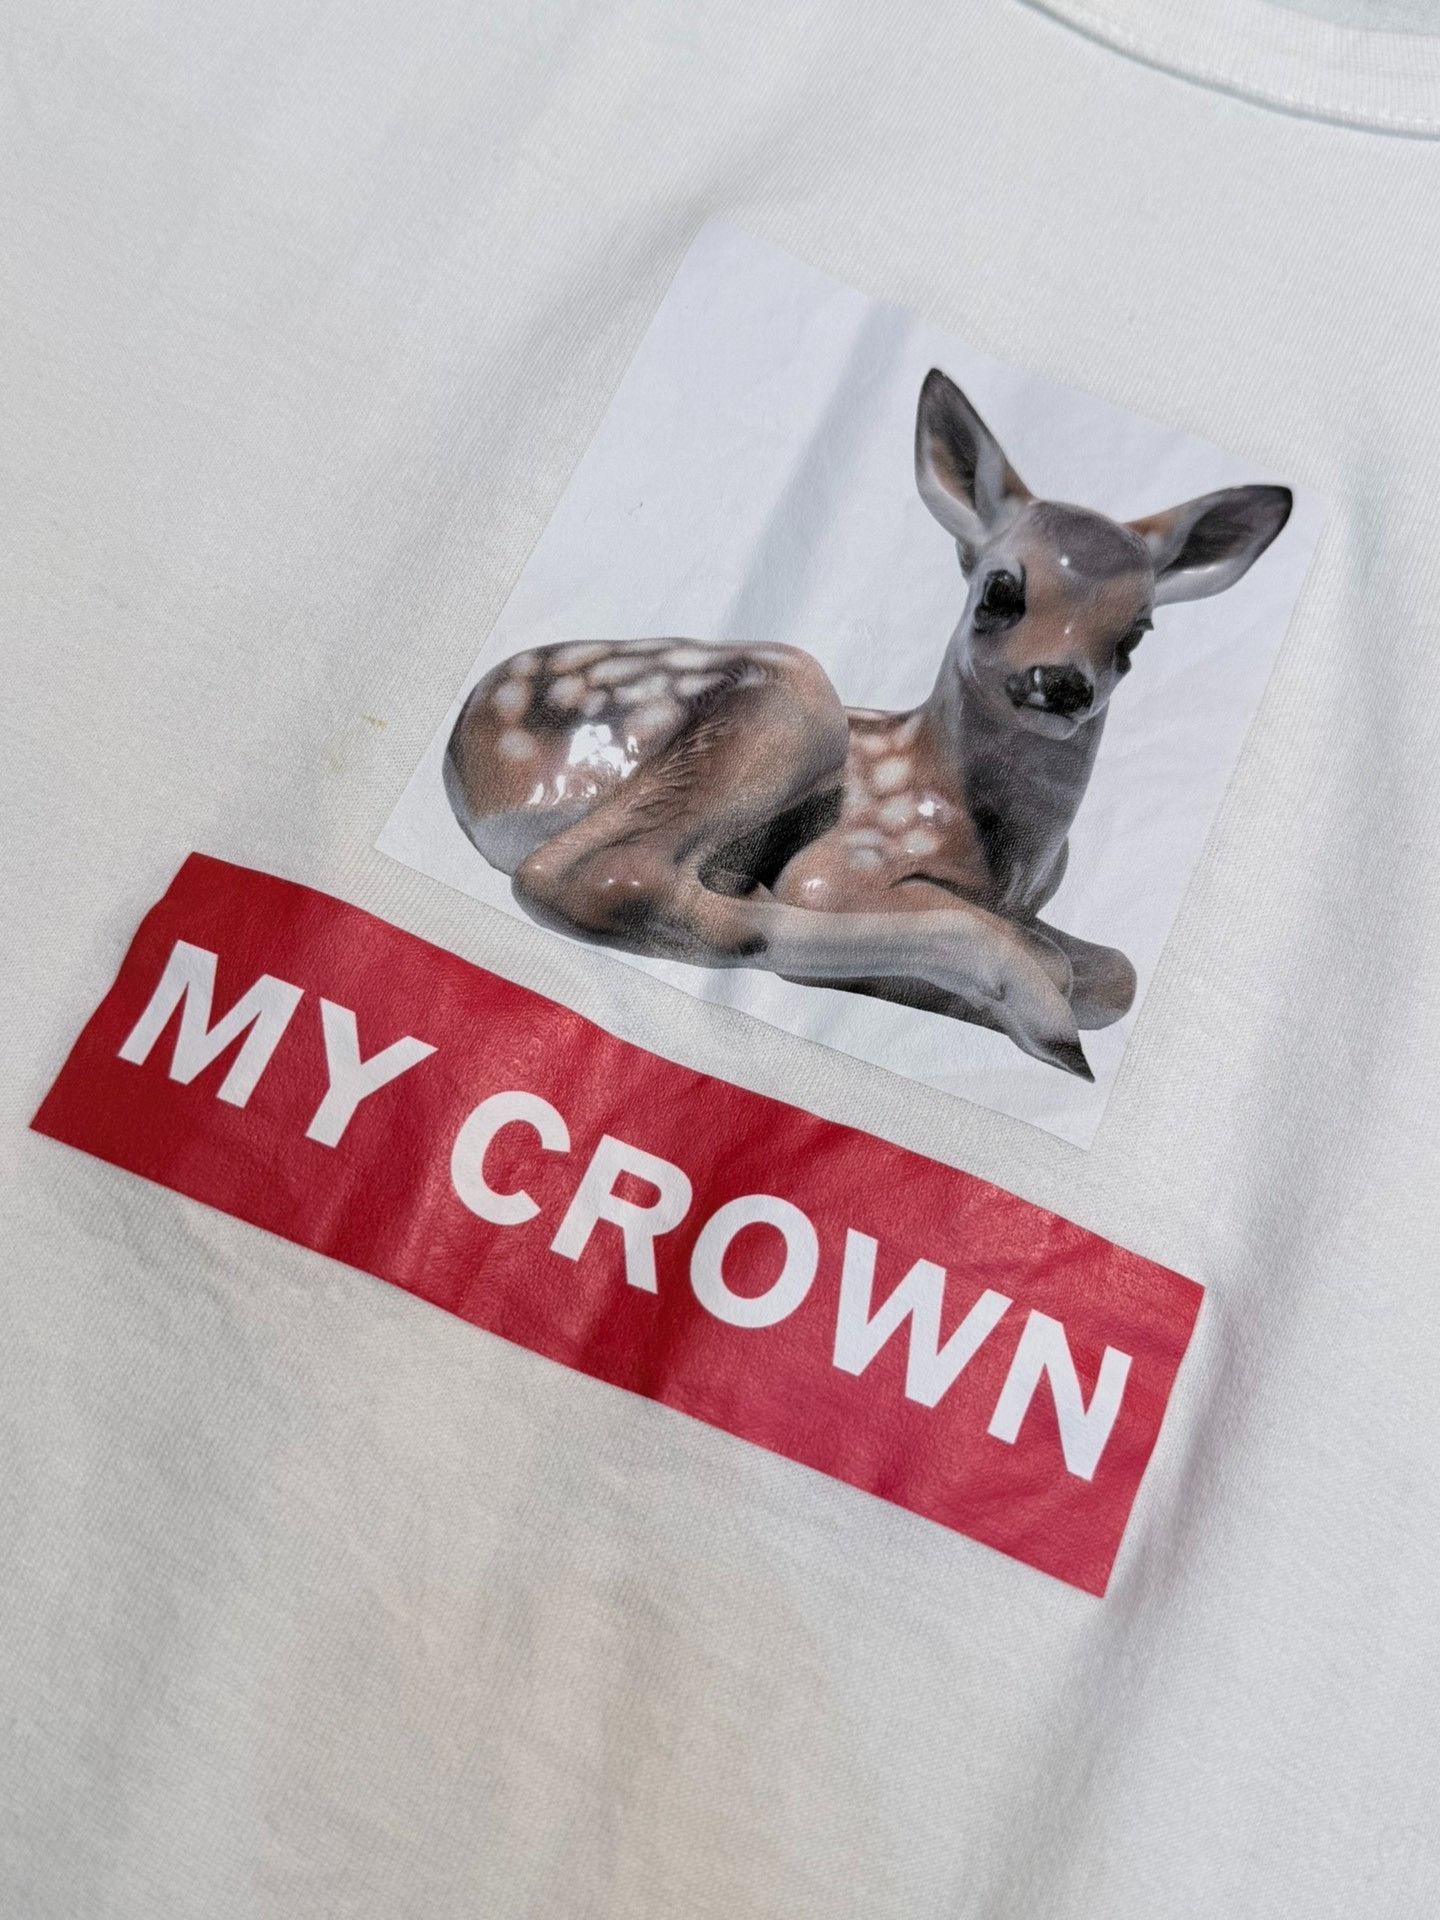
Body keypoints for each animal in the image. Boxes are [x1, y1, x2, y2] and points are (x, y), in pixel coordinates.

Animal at [445, 369, 1291, 1079]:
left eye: (1136, 633)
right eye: (1001, 590)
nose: (1061, 683)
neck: (1009, 866)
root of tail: (467, 765)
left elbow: (1120, 972)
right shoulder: (847, 857)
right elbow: (1051, 958)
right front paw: (1020, 987)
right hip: (792, 700)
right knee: (601, 878)